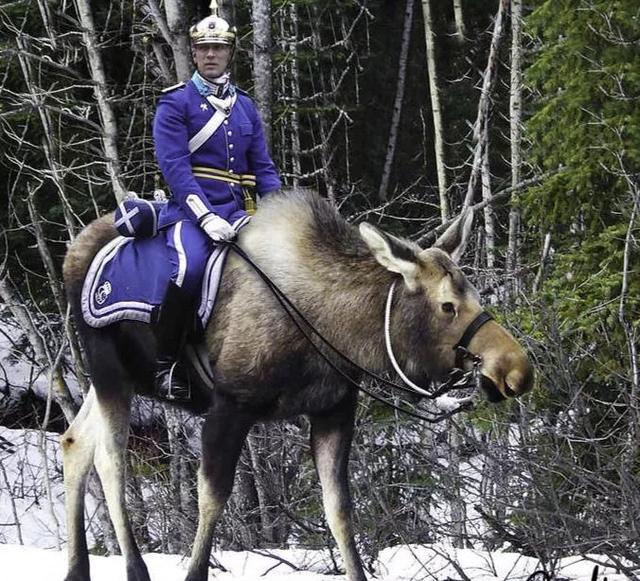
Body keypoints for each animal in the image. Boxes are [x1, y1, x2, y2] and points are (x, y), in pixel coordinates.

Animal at [61, 188, 528, 576]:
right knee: (110, 460)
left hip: (119, 381)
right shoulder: (230, 405)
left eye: (476, 296)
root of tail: (71, 253)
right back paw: (134, 569)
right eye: (447, 305)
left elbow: (339, 510)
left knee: (73, 440)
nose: (516, 368)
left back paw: (76, 570)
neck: (335, 329)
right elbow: (211, 500)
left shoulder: (333, 412)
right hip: (109, 372)